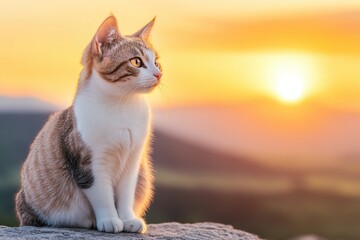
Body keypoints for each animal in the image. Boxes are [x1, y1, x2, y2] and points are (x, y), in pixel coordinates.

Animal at [15, 14, 162, 232]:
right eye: (137, 62)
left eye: (156, 62)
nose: (159, 74)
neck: (124, 104)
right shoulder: (90, 163)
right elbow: (103, 196)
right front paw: (110, 220)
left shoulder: (133, 161)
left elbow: (126, 194)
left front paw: (127, 219)